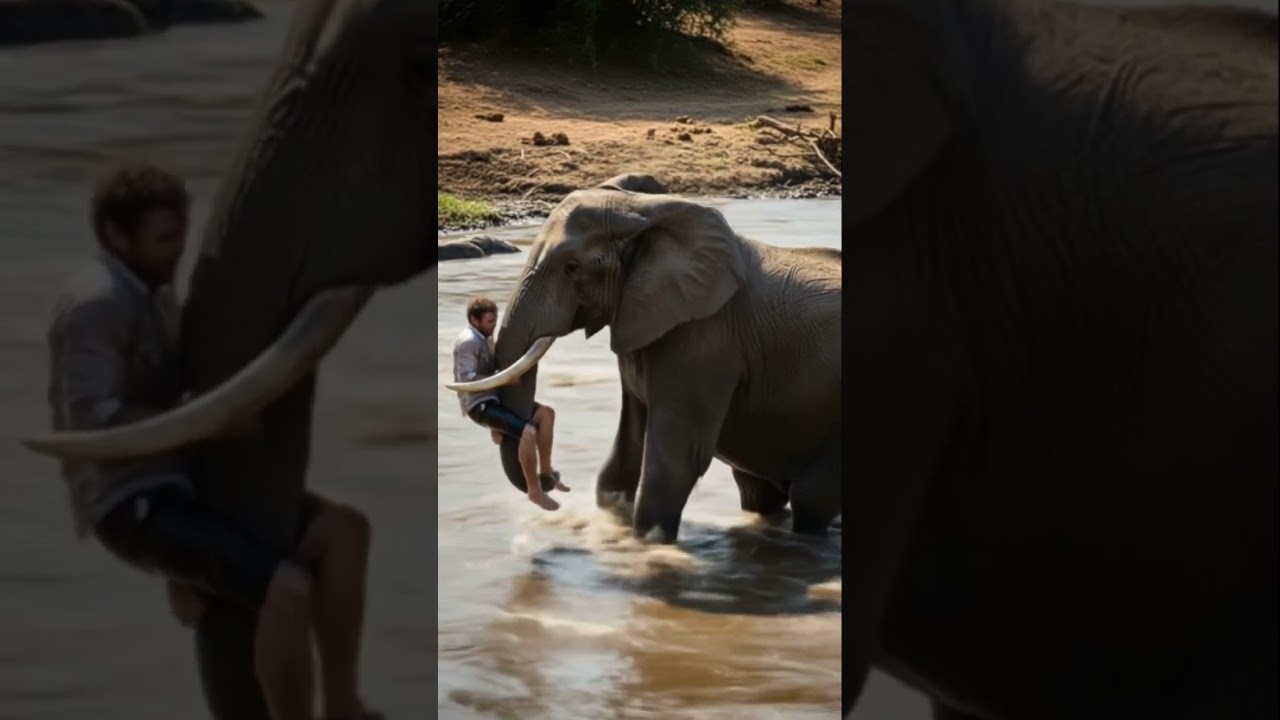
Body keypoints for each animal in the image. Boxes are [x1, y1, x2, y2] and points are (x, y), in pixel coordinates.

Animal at [445, 172, 843, 542]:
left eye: (571, 268)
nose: (553, 477)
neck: (646, 211)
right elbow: (628, 443)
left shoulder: (705, 338)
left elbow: (676, 462)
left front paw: (649, 547)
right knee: (758, 492)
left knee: (810, 498)